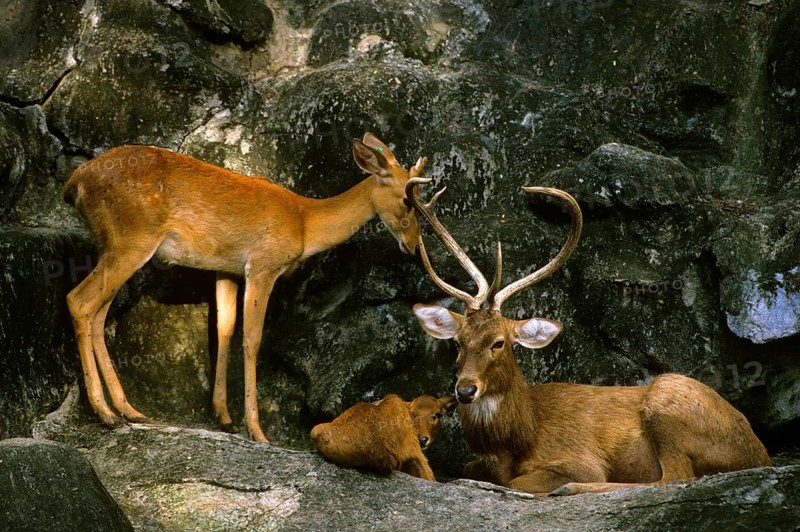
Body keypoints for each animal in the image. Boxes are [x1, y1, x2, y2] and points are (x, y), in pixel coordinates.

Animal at [63, 133, 428, 443]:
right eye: (407, 201)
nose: (413, 246)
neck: (304, 221)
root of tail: (75, 183)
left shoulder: (227, 270)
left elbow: (224, 329)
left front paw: (224, 417)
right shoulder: (263, 265)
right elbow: (252, 340)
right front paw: (257, 430)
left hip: (115, 246)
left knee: (99, 314)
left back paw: (128, 410)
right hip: (132, 241)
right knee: (79, 300)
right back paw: (105, 413)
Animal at [404, 178, 772, 495]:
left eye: (499, 342)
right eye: (457, 342)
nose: (465, 390)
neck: (519, 438)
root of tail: (760, 453)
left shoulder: (579, 459)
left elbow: (519, 482)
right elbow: (469, 468)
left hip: (668, 403)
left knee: (675, 476)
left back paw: (571, 488)